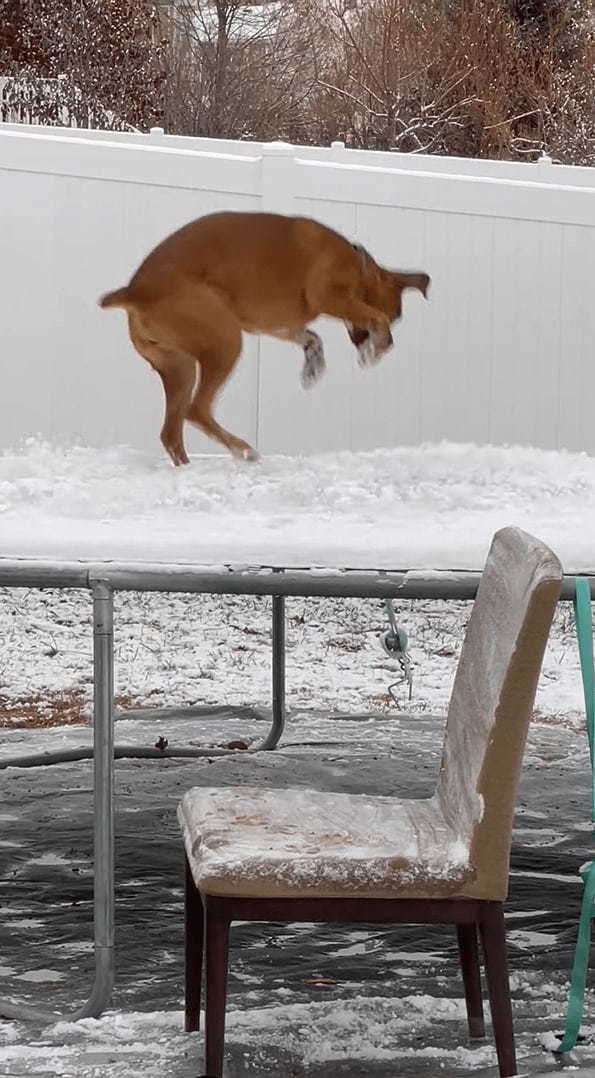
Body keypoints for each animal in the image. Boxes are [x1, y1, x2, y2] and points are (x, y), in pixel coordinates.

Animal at [99, 210, 429, 463]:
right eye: (397, 317)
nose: (361, 342)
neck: (358, 266)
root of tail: (136, 291)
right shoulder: (328, 297)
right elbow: (375, 318)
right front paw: (377, 348)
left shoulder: (272, 325)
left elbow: (312, 337)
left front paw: (313, 367)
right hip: (225, 340)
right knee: (196, 410)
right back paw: (243, 450)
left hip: (179, 366)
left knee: (171, 431)